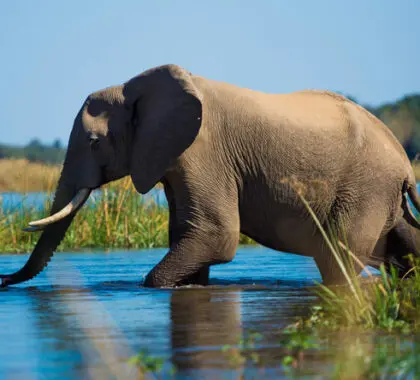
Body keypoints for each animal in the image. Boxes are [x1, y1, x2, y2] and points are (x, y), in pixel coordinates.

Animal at [0, 63, 420, 286]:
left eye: (92, 142)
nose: (4, 281)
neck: (135, 87)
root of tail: (404, 163)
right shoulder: (175, 159)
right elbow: (190, 235)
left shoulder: (203, 154)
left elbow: (215, 236)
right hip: (379, 194)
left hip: (365, 187)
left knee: (339, 256)